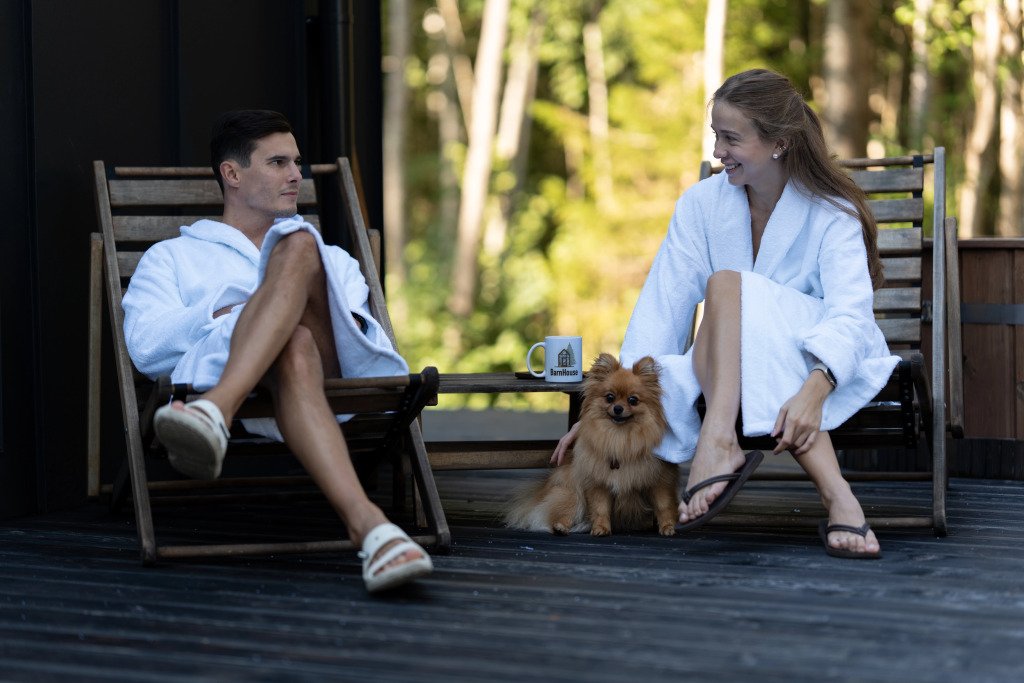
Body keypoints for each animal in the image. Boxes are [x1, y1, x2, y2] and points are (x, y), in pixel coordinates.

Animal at [504, 353, 678, 536]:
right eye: (609, 397)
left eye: (633, 400)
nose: (618, 408)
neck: (619, 437)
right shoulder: (598, 483)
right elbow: (600, 508)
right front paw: (600, 528)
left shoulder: (660, 480)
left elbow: (663, 505)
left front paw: (667, 527)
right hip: (573, 493)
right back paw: (561, 526)